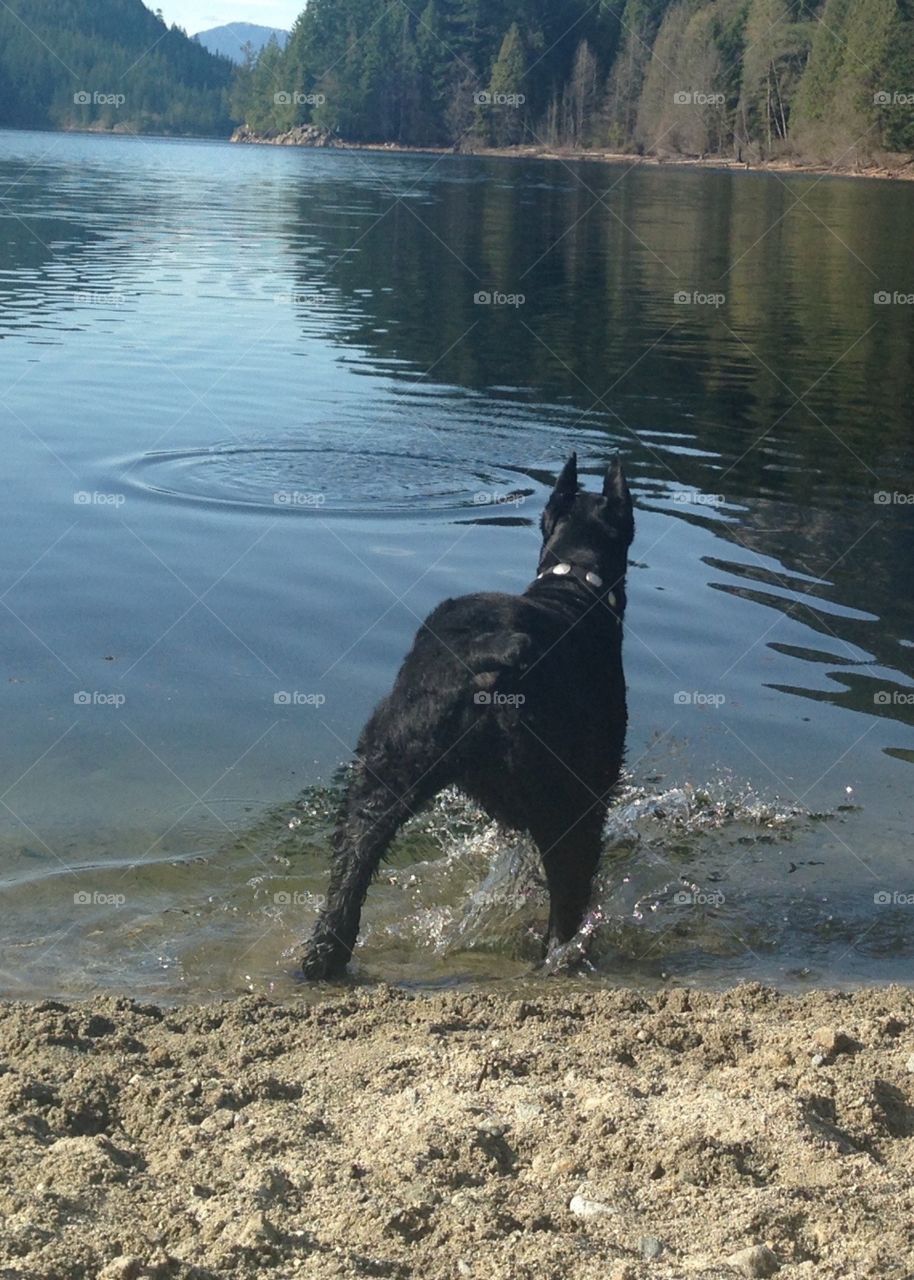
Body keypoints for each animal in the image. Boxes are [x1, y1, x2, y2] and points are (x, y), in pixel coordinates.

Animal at [302, 455, 629, 972]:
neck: (575, 582)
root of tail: (488, 658)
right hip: (566, 805)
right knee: (568, 898)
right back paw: (563, 955)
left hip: (382, 774)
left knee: (349, 874)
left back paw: (322, 960)